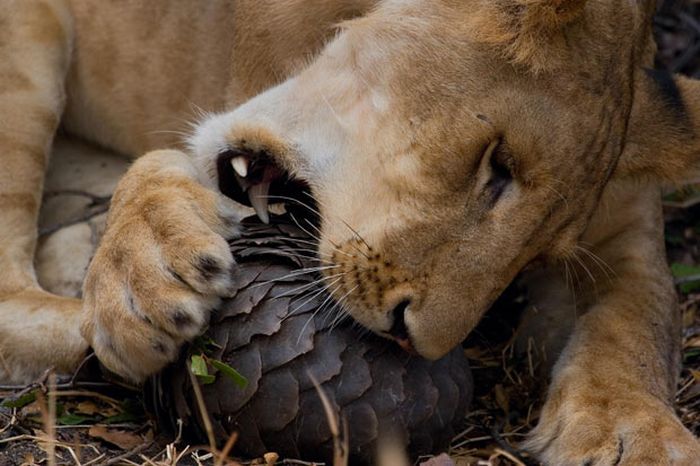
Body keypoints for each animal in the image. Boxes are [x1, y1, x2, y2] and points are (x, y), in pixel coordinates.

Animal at [1, 0, 700, 464]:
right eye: (497, 165)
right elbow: (156, 167)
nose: (413, 340)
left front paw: (629, 432)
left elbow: (637, 317)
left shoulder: (627, 227)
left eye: (534, 255)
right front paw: (144, 277)